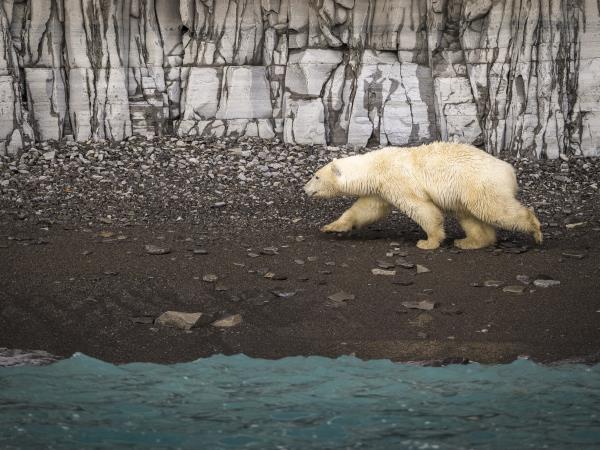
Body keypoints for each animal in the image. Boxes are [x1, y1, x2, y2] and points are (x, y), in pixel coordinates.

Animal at [304, 142, 544, 250]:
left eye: (316, 176)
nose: (305, 189)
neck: (376, 165)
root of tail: (509, 170)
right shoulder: (381, 190)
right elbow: (366, 210)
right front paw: (331, 227)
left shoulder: (397, 180)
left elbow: (422, 208)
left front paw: (428, 241)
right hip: (466, 192)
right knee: (470, 215)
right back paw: (469, 241)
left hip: (478, 183)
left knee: (494, 208)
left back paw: (535, 230)